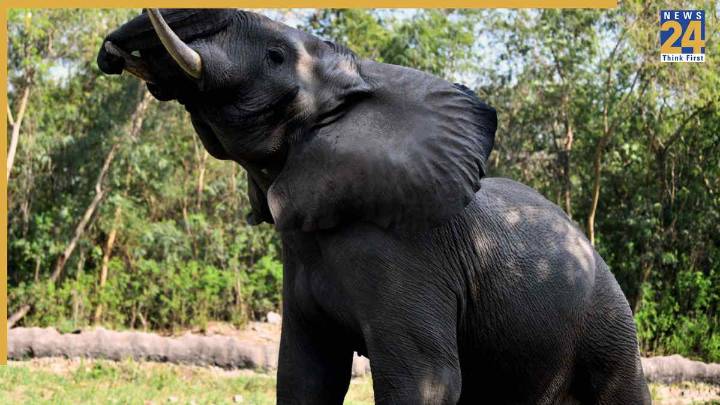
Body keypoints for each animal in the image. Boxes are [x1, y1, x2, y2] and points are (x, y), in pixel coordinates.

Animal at [97, 9, 651, 404]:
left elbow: (423, 380)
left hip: (608, 322)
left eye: (275, 56)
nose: (113, 52)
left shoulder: (410, 256)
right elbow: (306, 376)